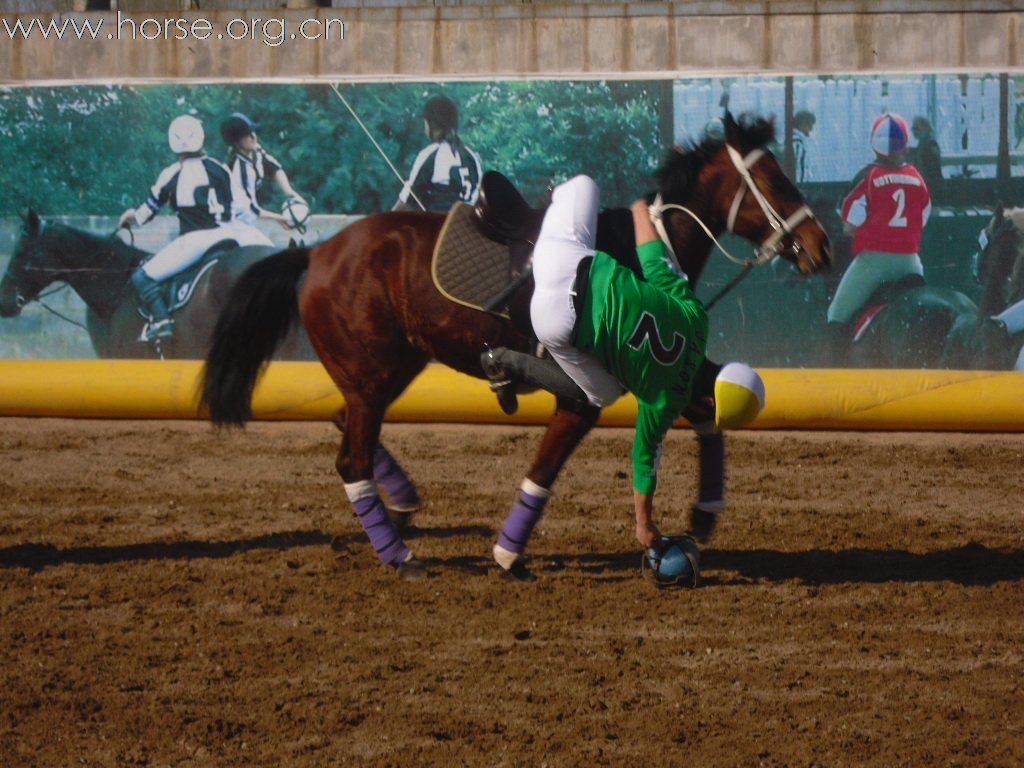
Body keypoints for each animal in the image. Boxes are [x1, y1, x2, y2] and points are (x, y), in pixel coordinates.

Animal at [199, 114, 831, 581]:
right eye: (775, 181)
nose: (820, 245)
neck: (633, 251)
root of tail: (318, 253)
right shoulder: (584, 396)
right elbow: (544, 470)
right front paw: (507, 554)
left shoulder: (664, 367)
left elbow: (708, 408)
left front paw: (702, 514)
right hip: (374, 377)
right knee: (350, 458)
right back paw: (401, 556)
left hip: (385, 373)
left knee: (343, 425)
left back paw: (401, 504)